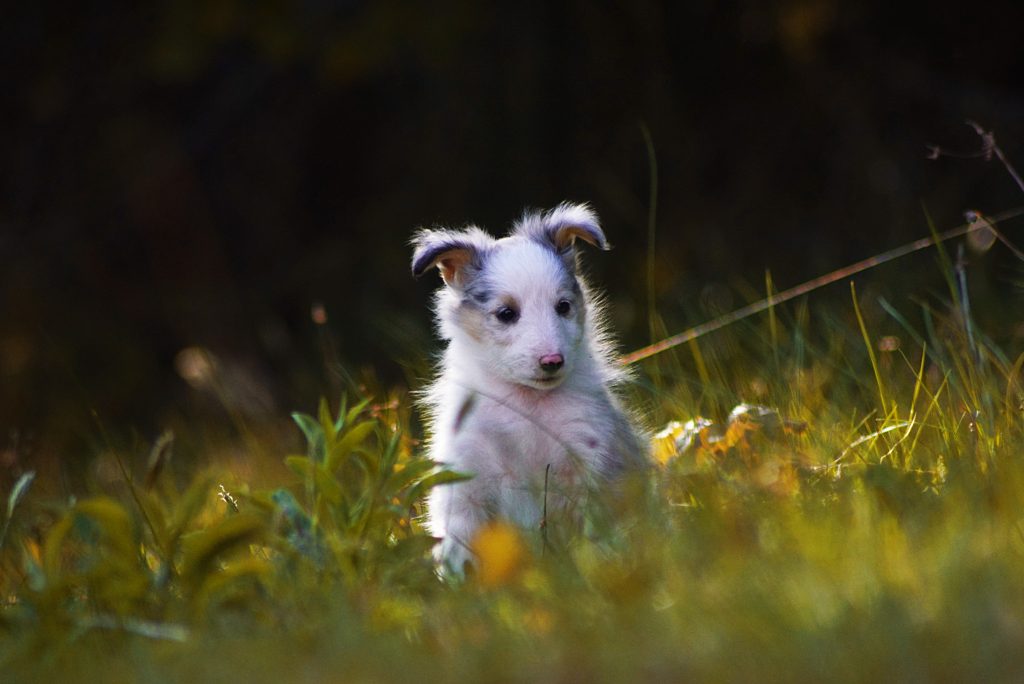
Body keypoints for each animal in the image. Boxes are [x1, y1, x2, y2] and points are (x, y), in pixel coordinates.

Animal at [409, 202, 643, 573]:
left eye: (563, 306)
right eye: (506, 313)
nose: (552, 361)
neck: (527, 404)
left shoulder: (590, 463)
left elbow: (596, 536)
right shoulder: (466, 483)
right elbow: (461, 546)